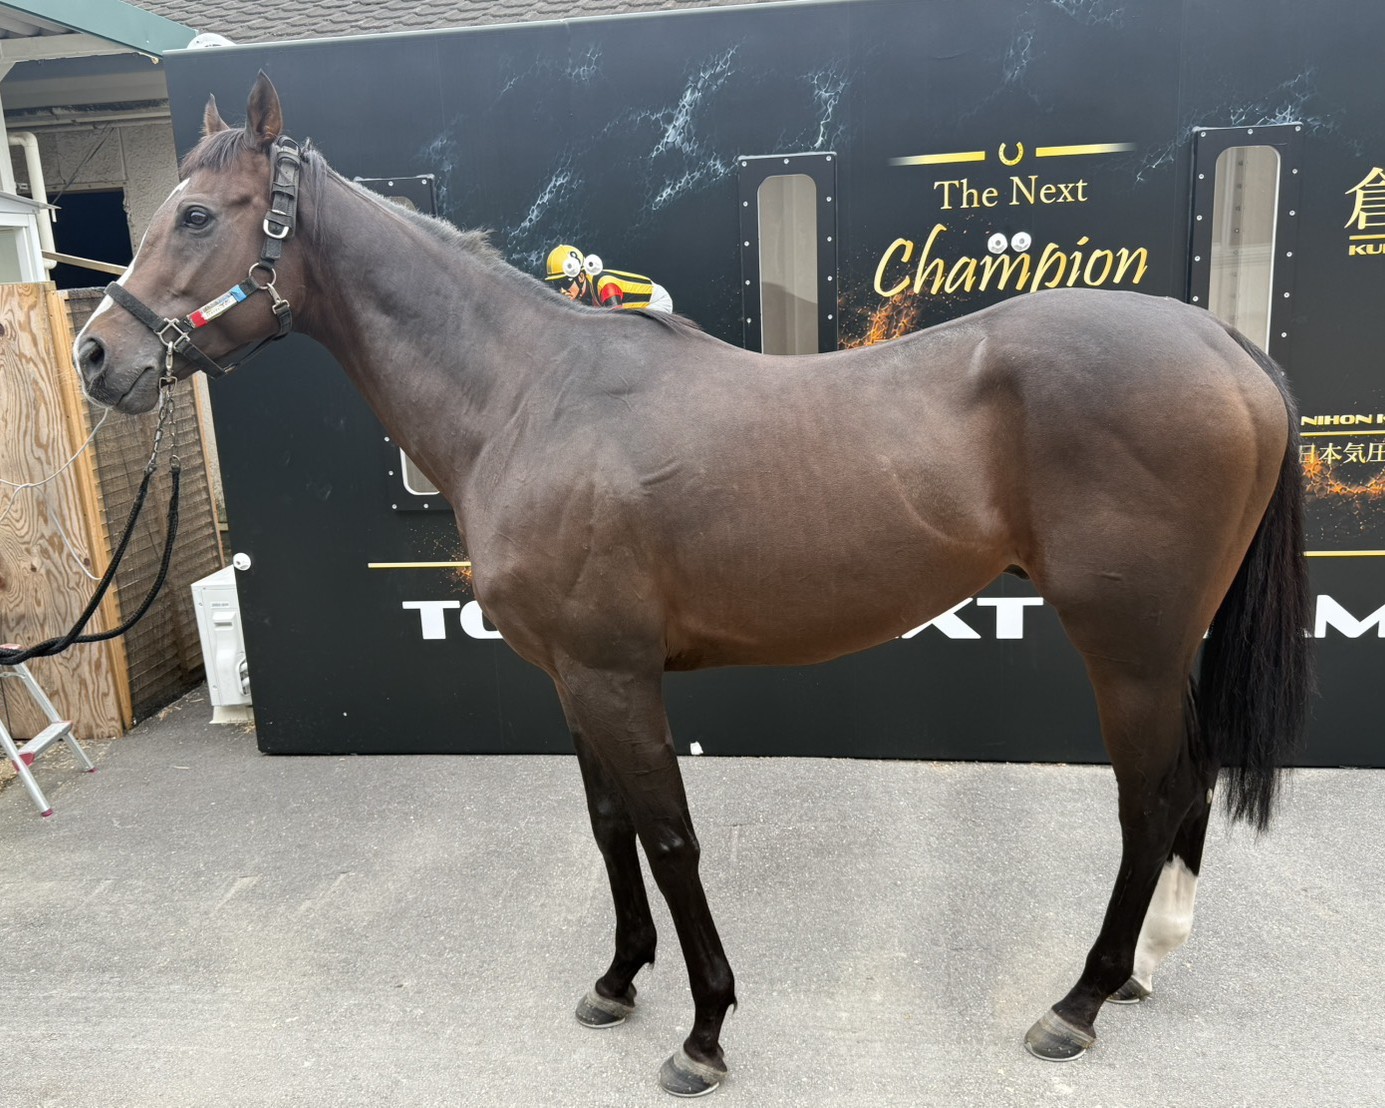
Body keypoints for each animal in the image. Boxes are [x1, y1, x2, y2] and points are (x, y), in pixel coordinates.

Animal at [73, 74, 1312, 1097]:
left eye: (198, 215)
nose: (97, 357)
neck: (528, 394)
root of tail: (1224, 346)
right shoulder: (574, 678)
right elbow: (609, 824)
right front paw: (617, 980)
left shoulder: (615, 677)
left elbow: (670, 839)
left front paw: (704, 1030)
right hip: (1165, 647)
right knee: (1186, 785)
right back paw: (1143, 964)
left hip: (1127, 649)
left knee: (1151, 796)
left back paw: (1080, 998)